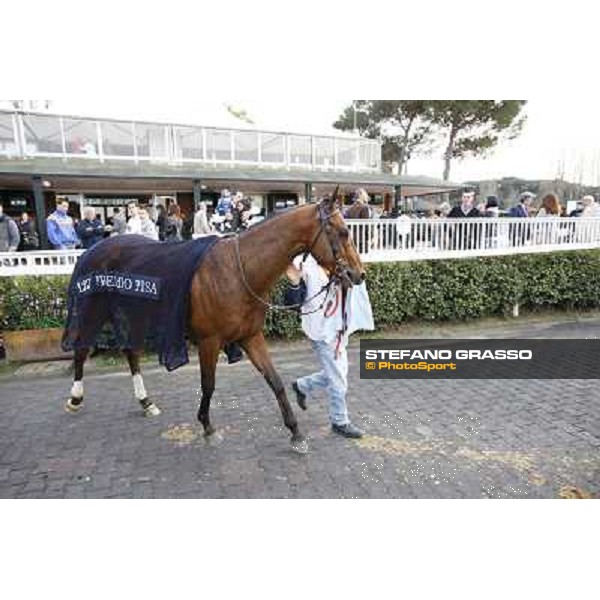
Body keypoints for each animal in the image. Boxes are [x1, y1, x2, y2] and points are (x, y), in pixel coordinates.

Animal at [65, 195, 366, 452]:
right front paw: (207, 426)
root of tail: (93, 249)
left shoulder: (250, 336)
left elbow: (276, 381)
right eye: (342, 232)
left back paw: (146, 402)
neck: (238, 270)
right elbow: (208, 384)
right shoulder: (209, 341)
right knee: (81, 347)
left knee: (131, 352)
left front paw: (295, 432)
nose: (358, 274)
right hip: (94, 310)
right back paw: (75, 398)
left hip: (134, 314)